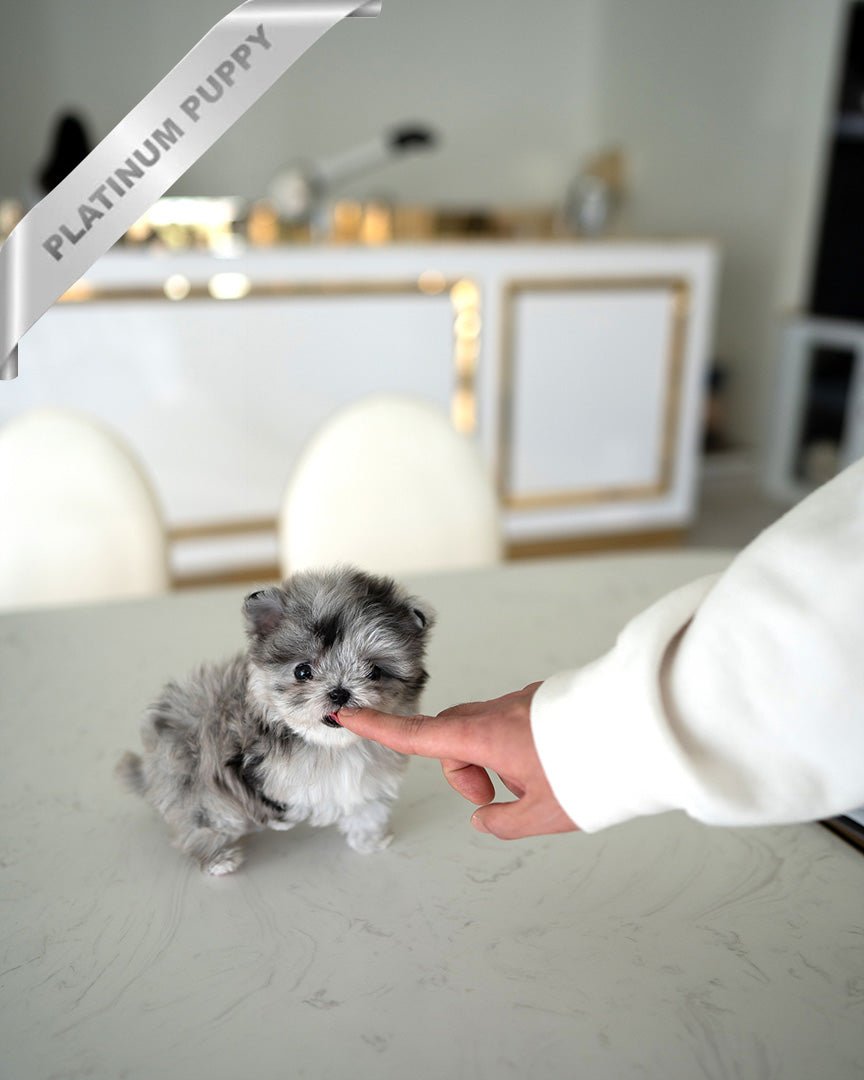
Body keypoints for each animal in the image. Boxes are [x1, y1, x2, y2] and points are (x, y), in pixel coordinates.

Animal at [117, 567, 434, 875]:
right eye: (302, 671)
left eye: (374, 672)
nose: (339, 692)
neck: (329, 747)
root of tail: (152, 768)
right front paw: (279, 819)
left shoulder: (369, 780)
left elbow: (368, 809)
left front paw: (370, 840)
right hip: (193, 781)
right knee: (201, 820)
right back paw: (218, 858)